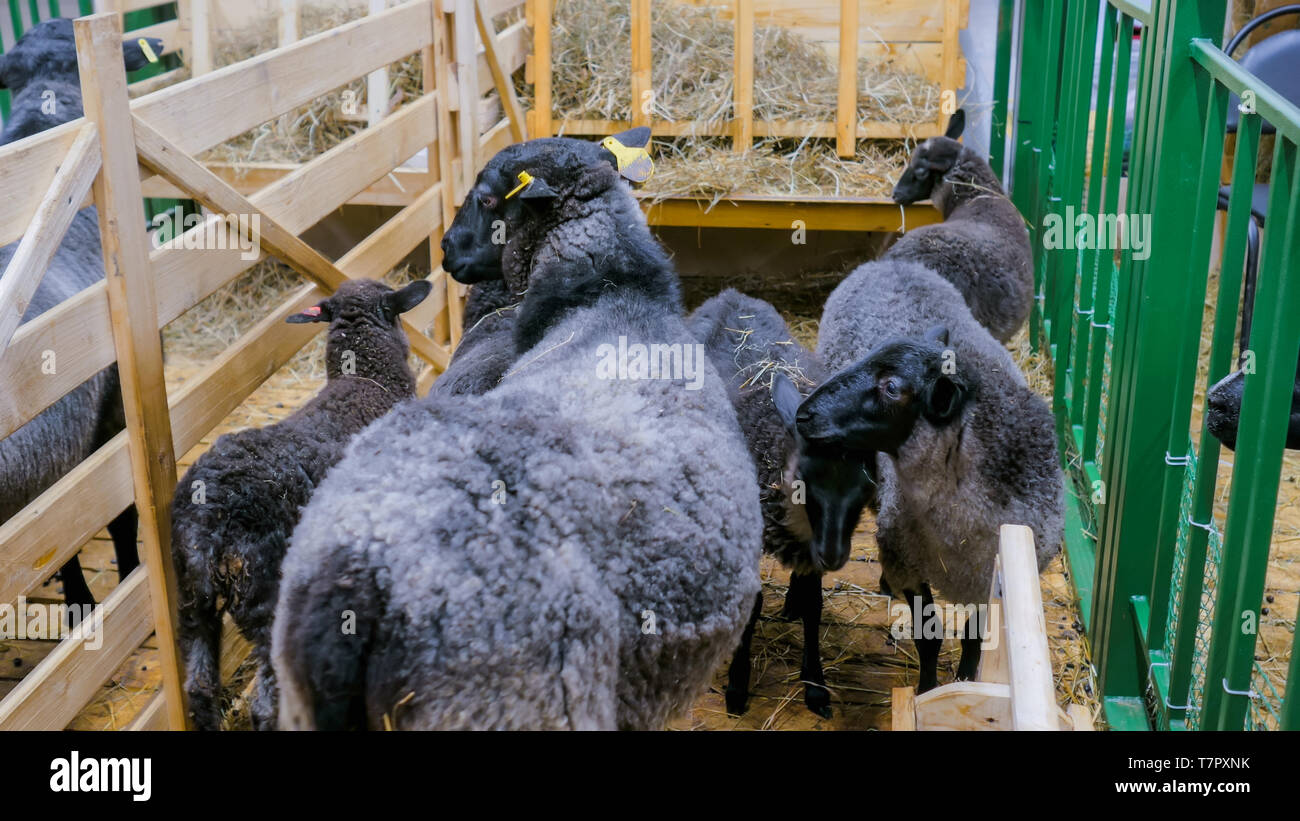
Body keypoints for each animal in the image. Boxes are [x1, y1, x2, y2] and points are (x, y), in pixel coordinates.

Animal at [170, 278, 431, 731]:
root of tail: (205, 520)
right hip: (264, 595)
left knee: (199, 689)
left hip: (192, 601)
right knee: (264, 705)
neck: (367, 383)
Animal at [687, 288, 876, 718]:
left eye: (864, 489)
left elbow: (814, 605)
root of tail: (730, 294)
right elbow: (753, 605)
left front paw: (816, 685)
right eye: (804, 481)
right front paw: (737, 686)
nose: (834, 555)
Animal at [800, 258, 1063, 692]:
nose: (804, 413)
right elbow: (930, 637)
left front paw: (966, 680)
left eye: (891, 387)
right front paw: (926, 688)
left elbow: (973, 640)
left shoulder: (987, 583)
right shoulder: (909, 563)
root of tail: (890, 262)